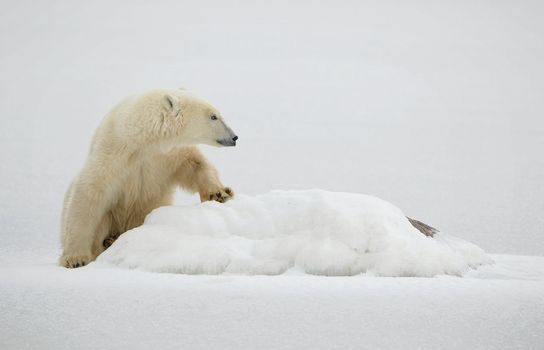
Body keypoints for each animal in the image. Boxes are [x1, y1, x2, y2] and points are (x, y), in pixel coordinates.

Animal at [60, 88, 238, 268]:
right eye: (213, 116)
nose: (234, 137)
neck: (143, 139)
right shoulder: (113, 153)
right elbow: (89, 192)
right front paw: (75, 259)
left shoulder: (167, 154)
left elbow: (194, 164)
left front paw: (219, 193)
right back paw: (108, 241)